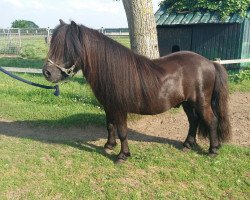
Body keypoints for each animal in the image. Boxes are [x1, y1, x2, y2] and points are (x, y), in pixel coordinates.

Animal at [42, 20, 230, 163]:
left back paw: (213, 150)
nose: (47, 72)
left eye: (68, 48)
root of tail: (210, 63)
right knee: (193, 121)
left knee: (211, 121)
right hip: (187, 103)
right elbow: (110, 126)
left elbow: (122, 131)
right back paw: (187, 145)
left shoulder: (119, 109)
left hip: (201, 102)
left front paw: (122, 155)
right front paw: (109, 145)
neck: (111, 70)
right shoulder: (109, 107)